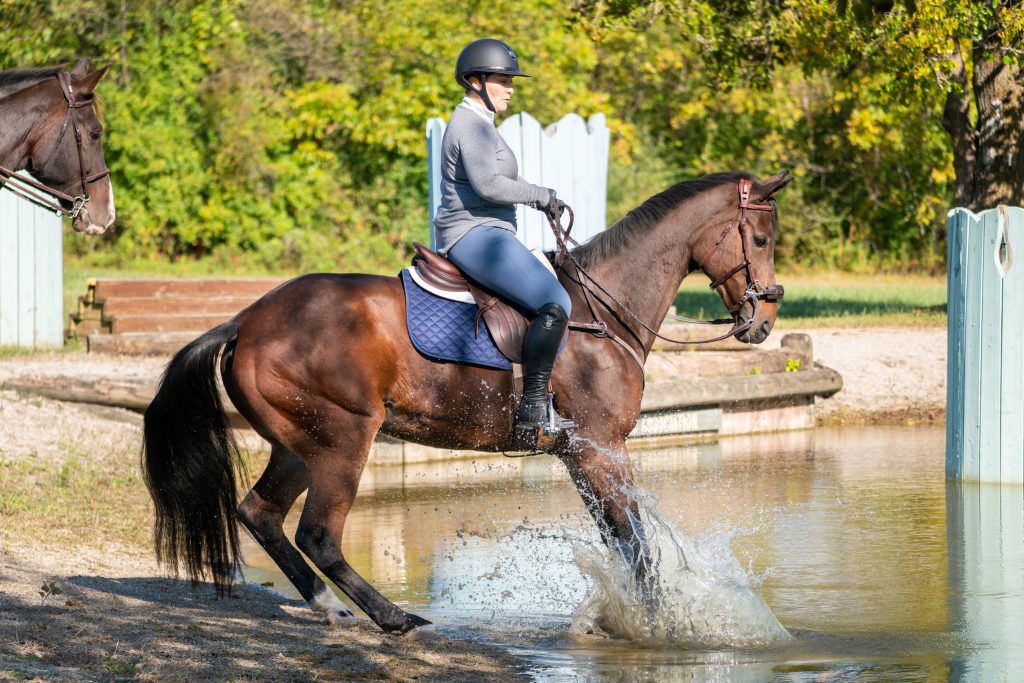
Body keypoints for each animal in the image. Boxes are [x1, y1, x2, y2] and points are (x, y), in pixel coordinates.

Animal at [142, 170, 791, 635]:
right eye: (760, 239)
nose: (763, 322)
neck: (602, 313)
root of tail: (245, 322)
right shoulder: (600, 448)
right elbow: (636, 546)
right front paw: (662, 623)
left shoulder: (581, 455)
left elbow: (623, 540)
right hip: (344, 439)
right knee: (319, 533)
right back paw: (394, 617)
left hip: (298, 445)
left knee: (260, 514)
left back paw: (332, 608)